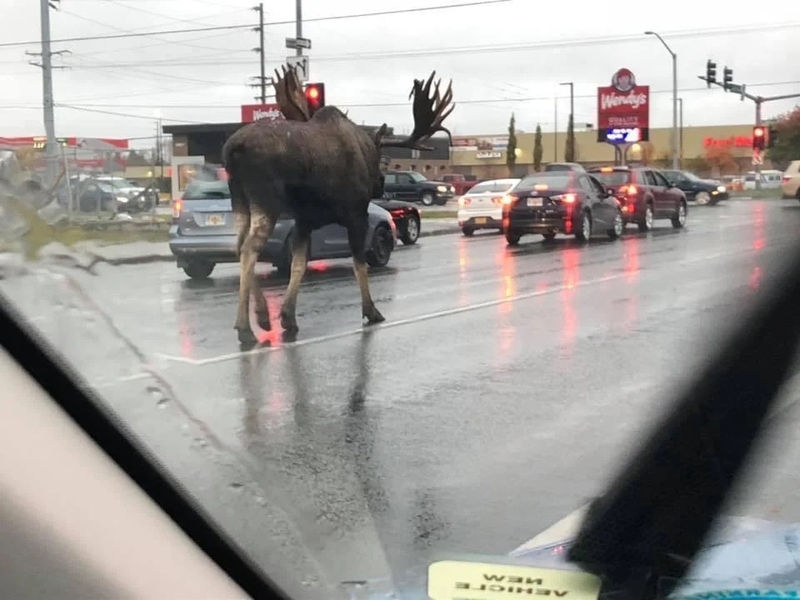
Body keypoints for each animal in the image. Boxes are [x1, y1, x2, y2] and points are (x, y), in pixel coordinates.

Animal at [222, 66, 454, 344]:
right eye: (382, 159)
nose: (380, 184)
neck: (367, 150)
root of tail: (233, 149)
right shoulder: (356, 213)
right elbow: (359, 263)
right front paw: (371, 310)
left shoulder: (304, 219)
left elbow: (299, 264)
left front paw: (288, 317)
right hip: (267, 199)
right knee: (249, 248)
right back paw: (245, 328)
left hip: (239, 199)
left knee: (237, 245)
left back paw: (262, 315)